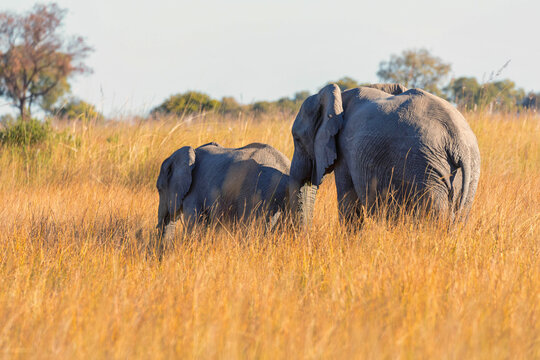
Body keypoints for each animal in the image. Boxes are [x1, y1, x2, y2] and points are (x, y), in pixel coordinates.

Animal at [292, 84, 480, 225]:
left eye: (297, 139)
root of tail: (458, 140)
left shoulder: (345, 149)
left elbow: (348, 202)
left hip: (425, 169)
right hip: (468, 173)